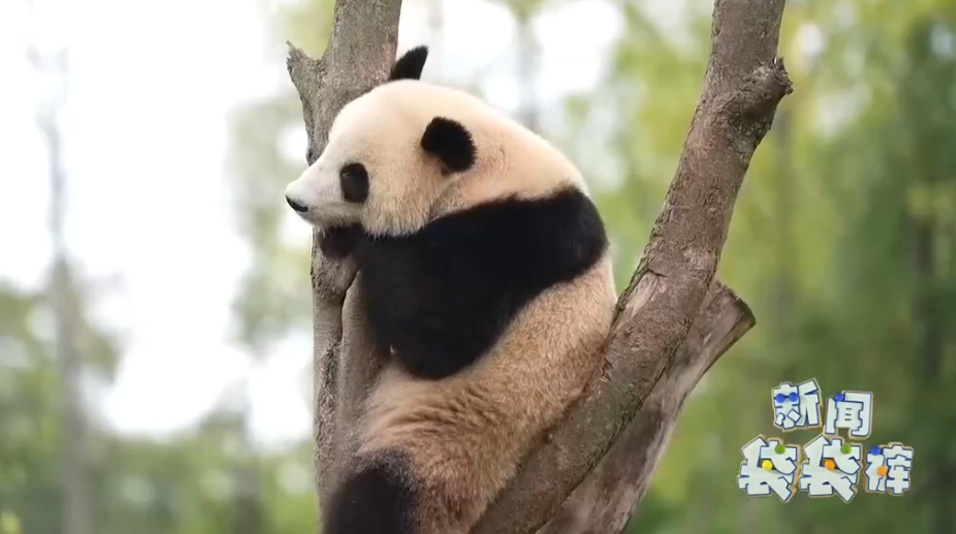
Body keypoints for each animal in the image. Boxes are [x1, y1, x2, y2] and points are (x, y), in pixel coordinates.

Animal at [284, 46, 617, 534]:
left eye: (353, 177)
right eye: (327, 147)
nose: (296, 200)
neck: (484, 171)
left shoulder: (521, 236)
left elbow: (439, 341)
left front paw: (353, 239)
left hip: (450, 444)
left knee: (380, 502)